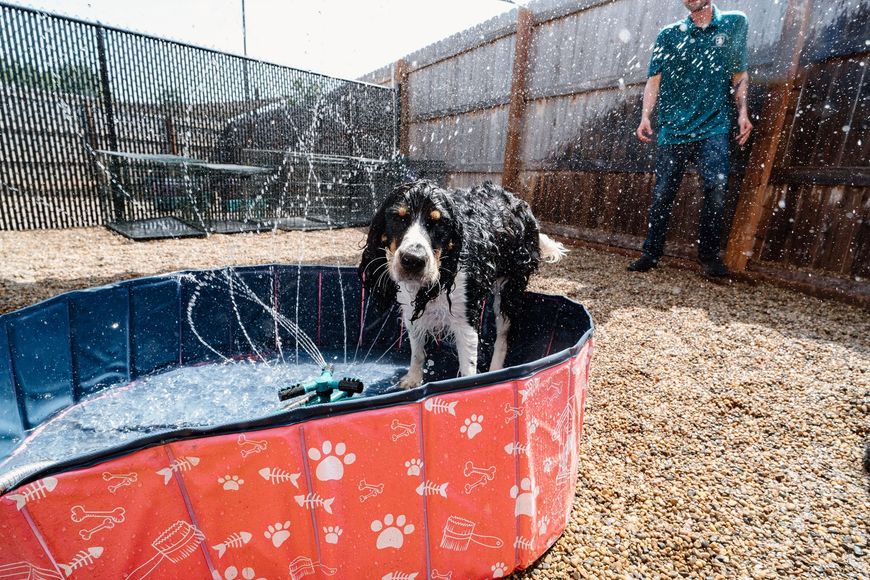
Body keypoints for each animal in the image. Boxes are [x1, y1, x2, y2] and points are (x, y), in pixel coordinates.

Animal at [360, 179, 568, 388]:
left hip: (509, 290)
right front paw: (413, 379)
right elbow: (417, 351)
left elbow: (468, 366)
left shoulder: (465, 318)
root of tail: (519, 202)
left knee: (502, 336)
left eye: (440, 223)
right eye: (398, 218)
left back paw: (496, 371)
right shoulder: (411, 308)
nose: (413, 260)